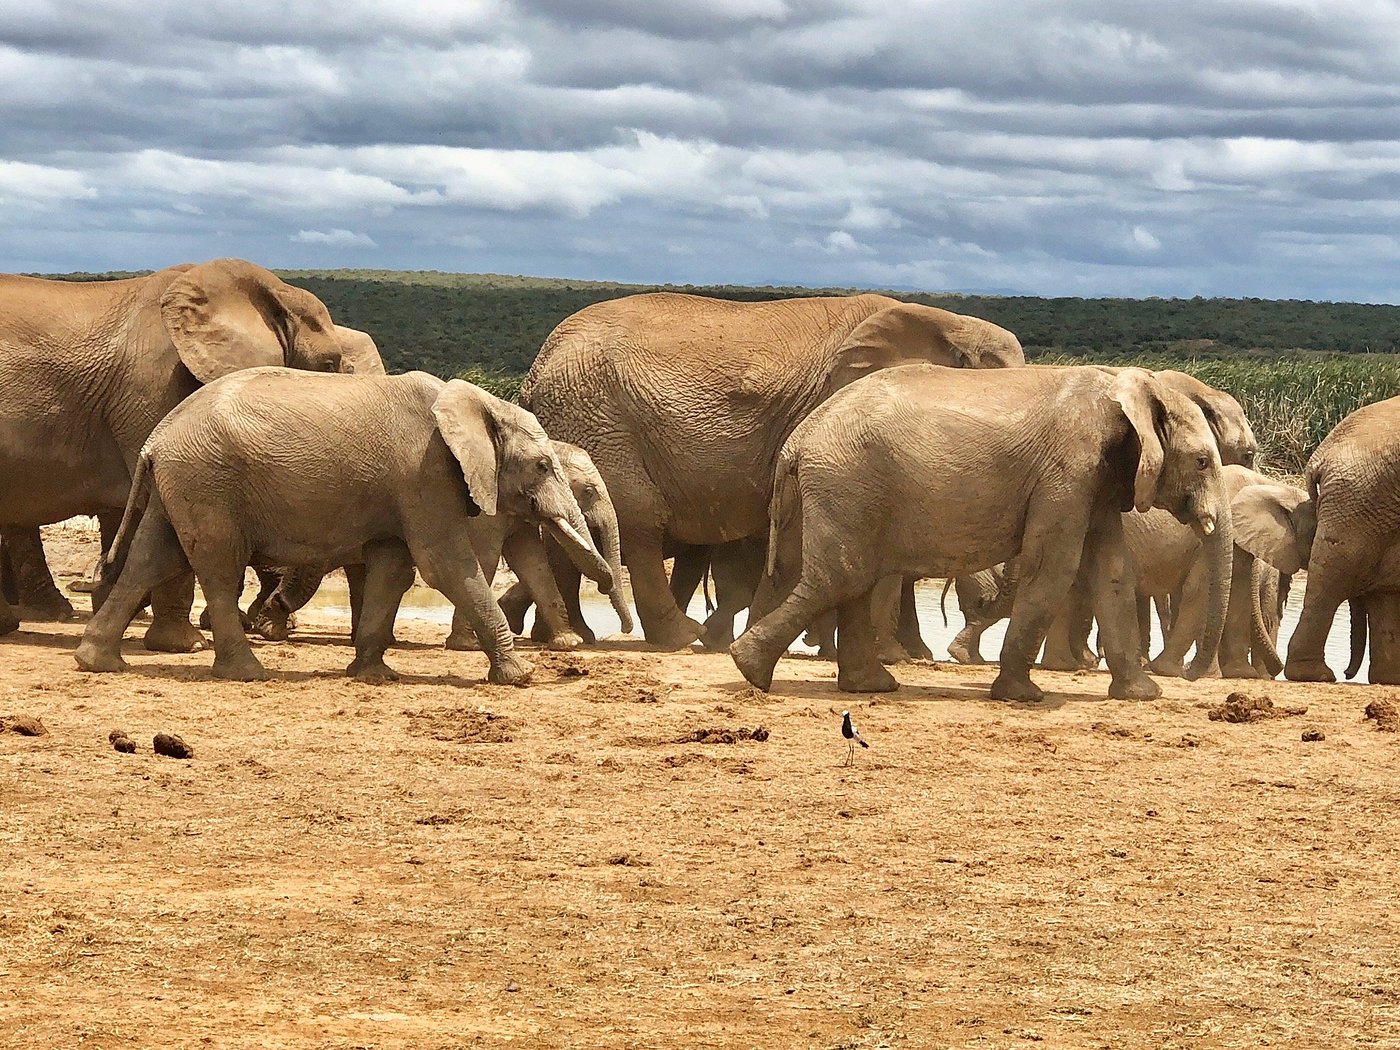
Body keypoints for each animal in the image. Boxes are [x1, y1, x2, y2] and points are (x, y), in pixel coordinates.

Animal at [75, 369, 613, 684]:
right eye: (543, 465)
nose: (575, 668)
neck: (473, 403)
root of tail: (157, 436)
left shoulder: (405, 485)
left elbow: (394, 568)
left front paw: (372, 674)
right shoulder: (424, 473)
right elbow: (443, 566)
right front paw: (518, 677)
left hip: (184, 482)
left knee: (152, 559)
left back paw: (96, 662)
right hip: (207, 481)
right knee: (217, 568)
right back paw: (248, 673)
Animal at [519, 292, 1025, 651]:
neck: (951, 323)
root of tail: (536, 366)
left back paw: (575, 638)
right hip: (598, 415)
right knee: (639, 520)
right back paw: (680, 638)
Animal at [730, 364, 1233, 701]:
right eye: (1203, 461)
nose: (1192, 676)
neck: (1132, 390)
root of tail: (797, 440)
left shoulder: (1099, 482)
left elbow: (1110, 571)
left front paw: (1143, 695)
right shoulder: (1068, 472)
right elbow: (1054, 567)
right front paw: (1022, 696)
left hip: (846, 490)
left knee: (852, 578)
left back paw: (868, 686)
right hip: (847, 482)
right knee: (843, 575)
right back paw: (751, 669)